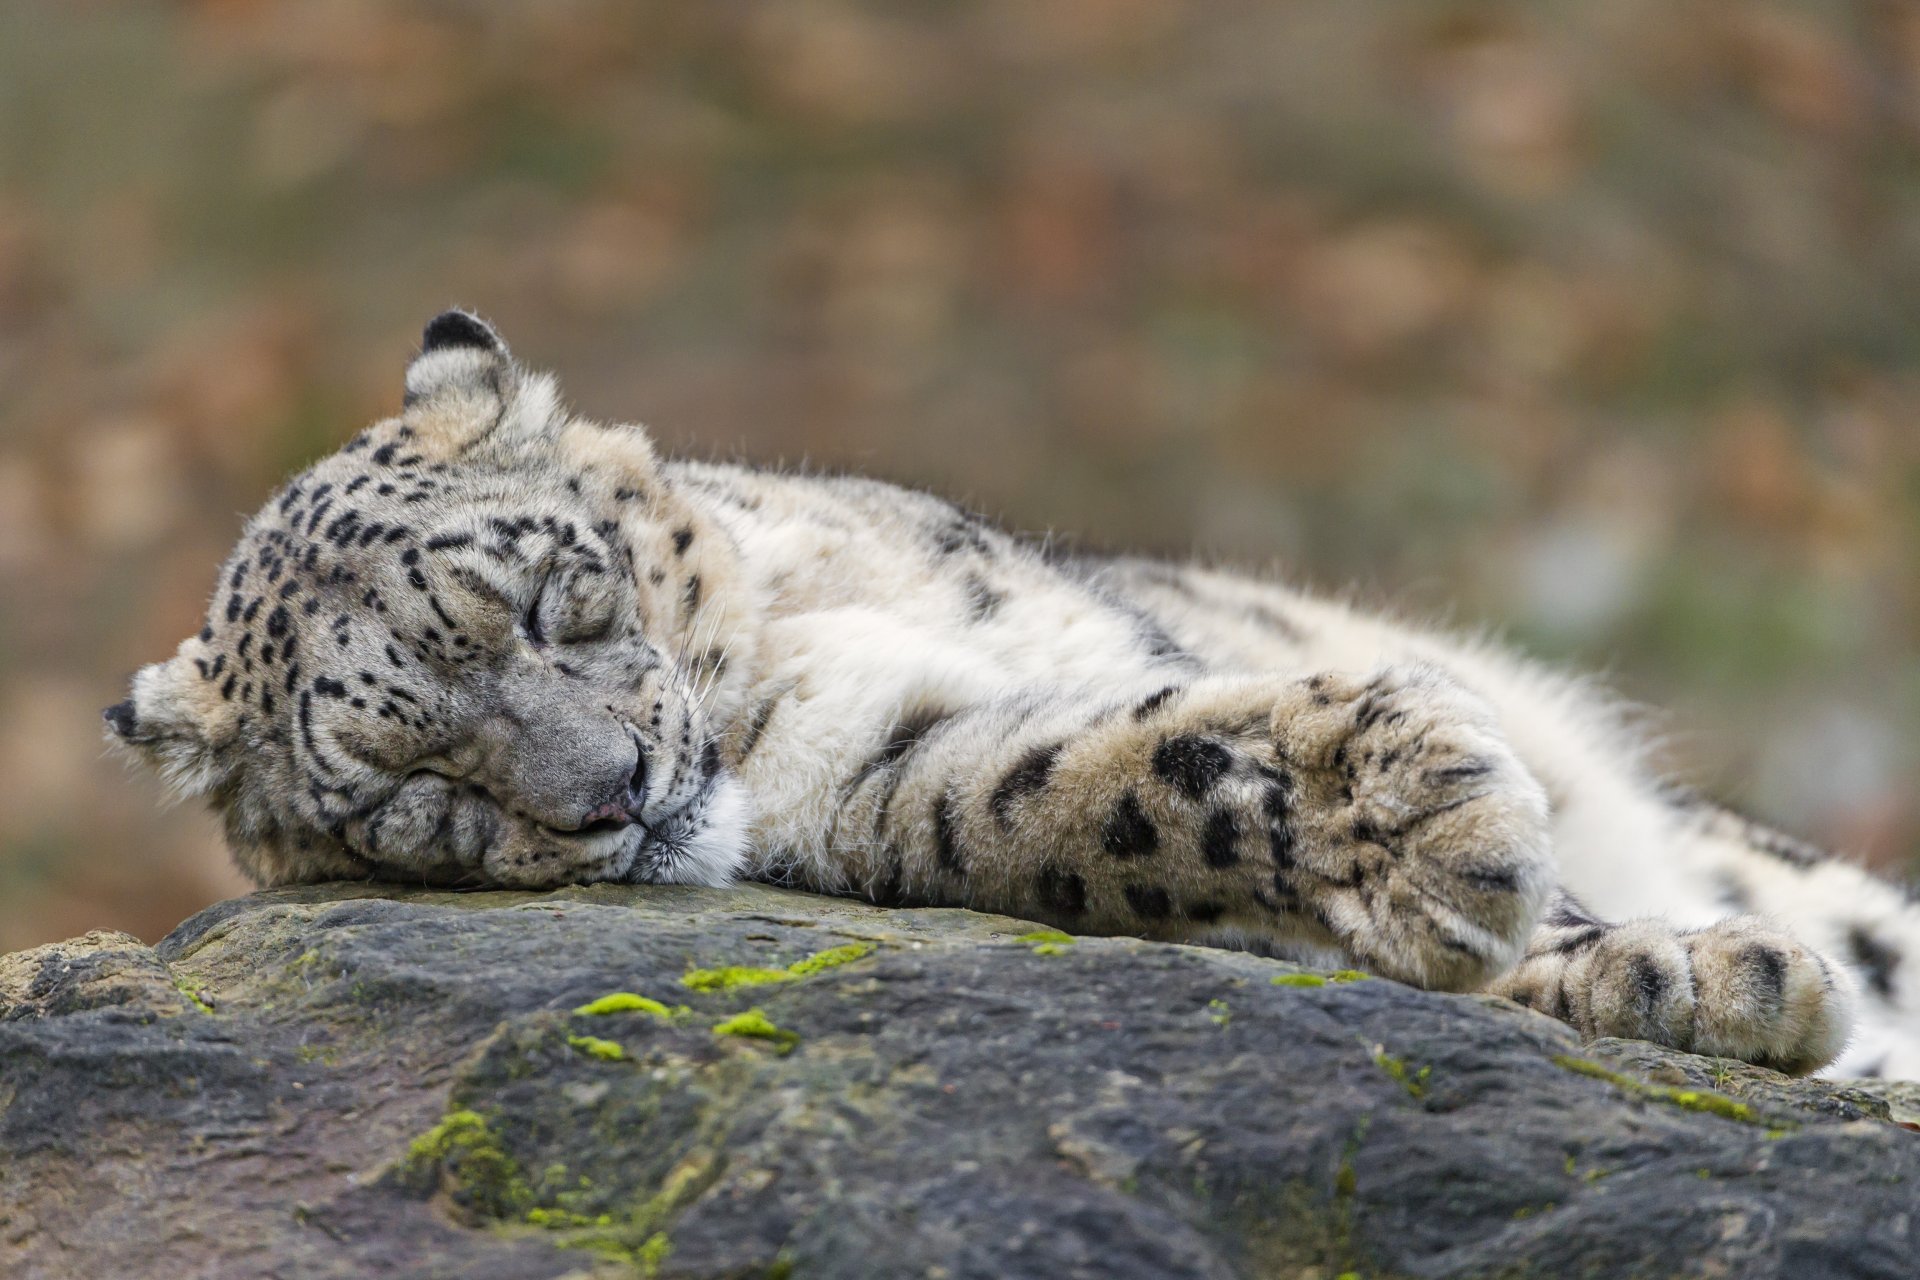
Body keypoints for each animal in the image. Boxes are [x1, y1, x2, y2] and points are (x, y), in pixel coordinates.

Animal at [108, 310, 1920, 1082]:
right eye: (417, 793)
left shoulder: (1088, 635)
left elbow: (1177, 706)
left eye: (565, 596)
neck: (789, 659)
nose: (616, 788)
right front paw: (1470, 857)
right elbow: (1117, 785)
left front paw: (1678, 958)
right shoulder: (910, 789)